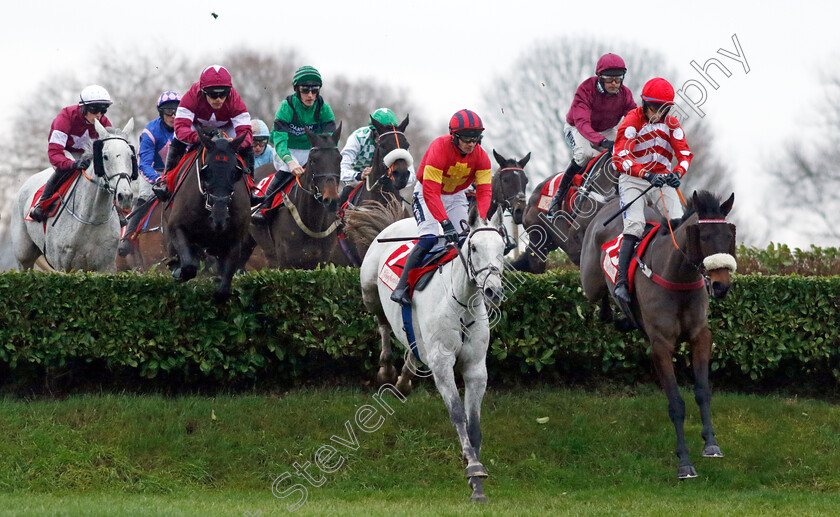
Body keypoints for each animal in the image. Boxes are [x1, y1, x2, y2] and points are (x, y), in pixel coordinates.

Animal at [11, 116, 136, 270]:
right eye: (105, 156)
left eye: (131, 156)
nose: (125, 196)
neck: (91, 219)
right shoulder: (63, 266)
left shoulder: (106, 266)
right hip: (24, 256)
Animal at [162, 129, 249, 304]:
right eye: (205, 172)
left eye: (235, 172)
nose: (219, 217)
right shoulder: (176, 226)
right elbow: (188, 267)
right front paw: (178, 271)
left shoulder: (235, 238)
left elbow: (224, 288)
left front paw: (218, 288)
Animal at [249, 126, 344, 270]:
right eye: (313, 160)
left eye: (339, 159)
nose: (331, 200)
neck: (312, 223)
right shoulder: (286, 265)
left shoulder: (321, 263)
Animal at [360, 209, 506, 500]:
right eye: (474, 247)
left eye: (503, 249)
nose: (493, 291)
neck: (461, 304)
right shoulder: (442, 365)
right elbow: (458, 415)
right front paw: (473, 469)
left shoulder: (476, 368)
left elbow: (474, 424)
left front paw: (477, 481)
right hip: (369, 291)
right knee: (382, 323)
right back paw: (386, 370)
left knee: (412, 347)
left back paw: (404, 379)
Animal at [580, 190, 740, 480]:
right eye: (703, 236)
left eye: (729, 236)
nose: (721, 286)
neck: (678, 277)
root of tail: (609, 203)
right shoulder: (661, 345)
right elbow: (676, 403)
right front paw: (684, 462)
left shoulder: (701, 336)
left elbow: (702, 391)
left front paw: (711, 444)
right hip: (590, 281)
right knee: (597, 297)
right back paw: (614, 305)